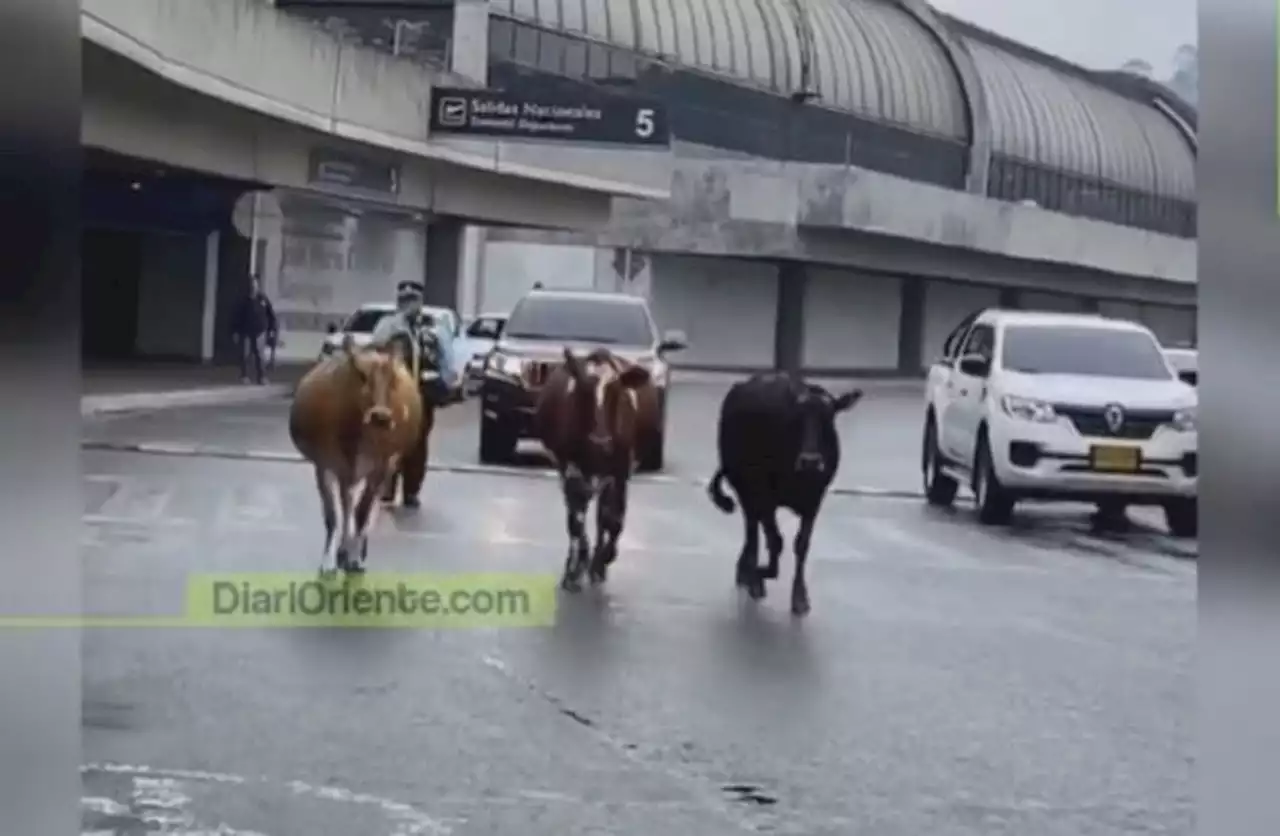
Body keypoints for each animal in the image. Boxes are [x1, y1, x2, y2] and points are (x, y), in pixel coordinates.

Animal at [288, 332, 422, 573]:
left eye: (392, 379)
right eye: (361, 375)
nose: (381, 416)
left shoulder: (380, 466)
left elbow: (362, 511)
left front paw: (354, 558)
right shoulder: (324, 464)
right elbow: (332, 515)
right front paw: (329, 561)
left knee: (360, 504)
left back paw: (355, 548)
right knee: (346, 501)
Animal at [535, 343, 660, 586]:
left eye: (616, 391)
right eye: (583, 390)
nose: (600, 442)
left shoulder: (620, 472)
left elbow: (613, 519)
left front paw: (604, 558)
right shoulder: (569, 467)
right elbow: (575, 519)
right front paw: (574, 569)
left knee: (604, 514)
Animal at [706, 371, 865, 611]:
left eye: (829, 419)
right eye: (797, 419)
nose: (810, 461)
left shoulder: (815, 499)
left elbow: (801, 544)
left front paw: (799, 595)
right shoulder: (763, 493)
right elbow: (776, 541)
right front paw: (760, 573)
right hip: (742, 485)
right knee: (752, 528)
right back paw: (748, 570)